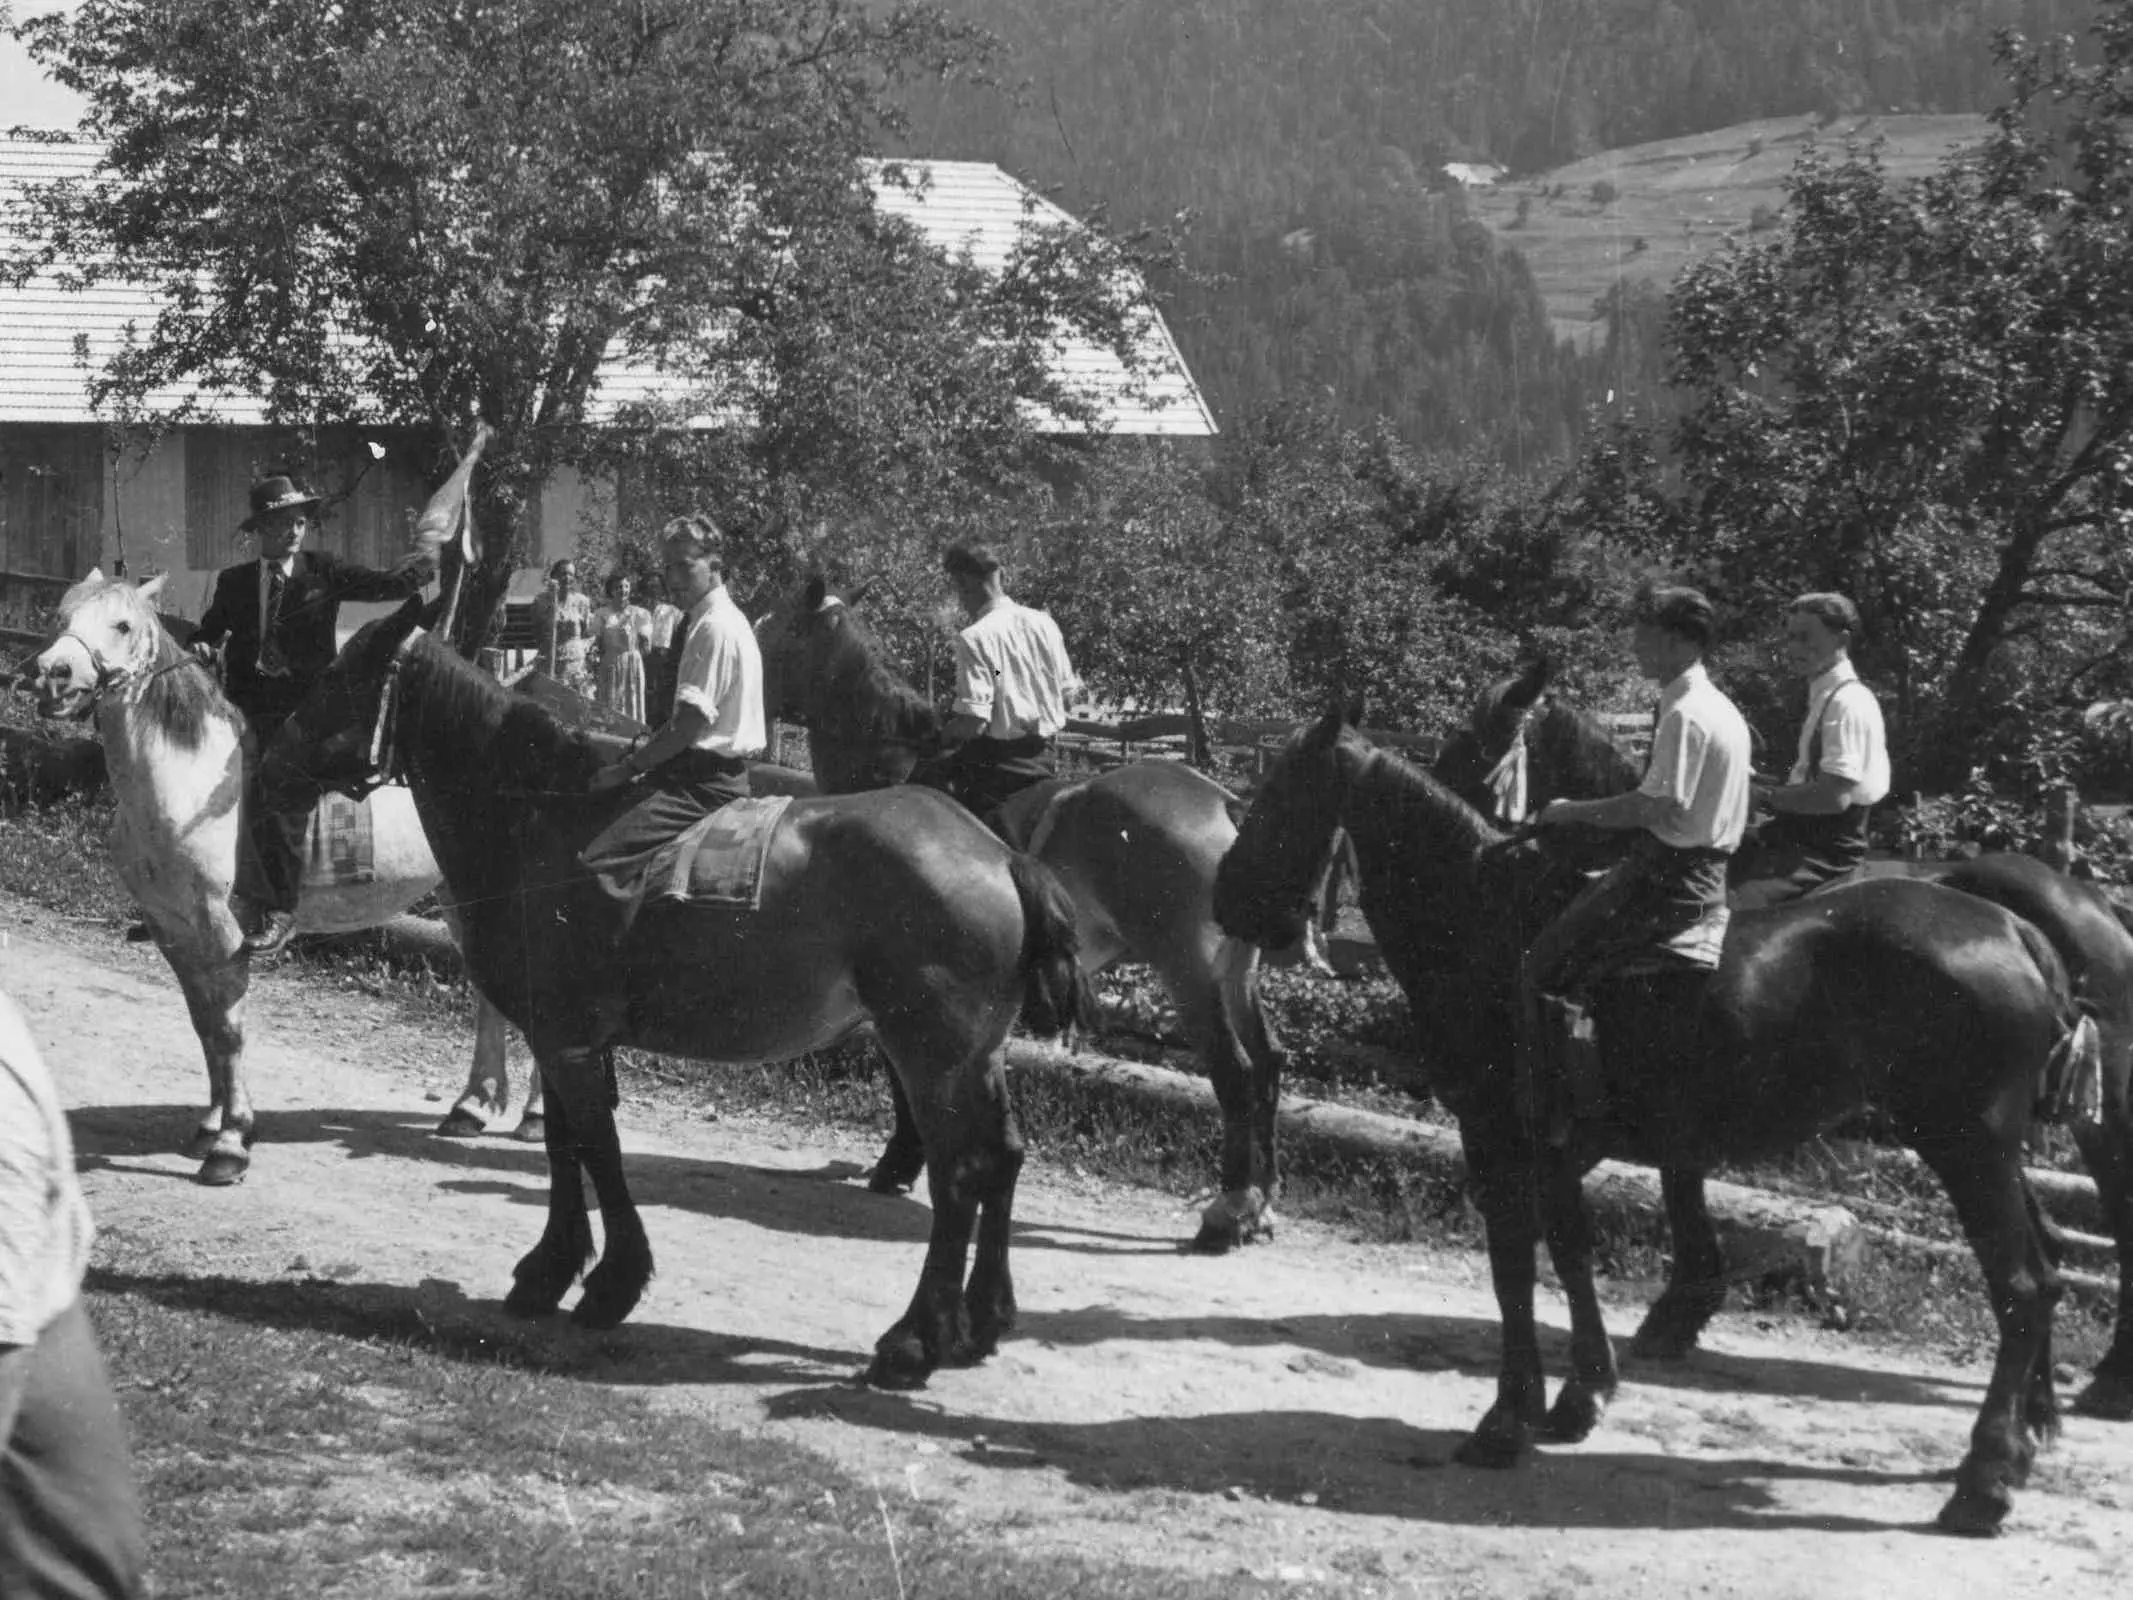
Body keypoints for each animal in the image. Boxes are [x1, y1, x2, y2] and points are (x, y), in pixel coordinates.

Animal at [33, 571, 537, 1186]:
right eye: (60, 616)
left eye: (123, 625)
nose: (53, 675)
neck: (186, 785)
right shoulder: (172, 928)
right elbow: (204, 1026)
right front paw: (210, 1125)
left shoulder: (222, 931)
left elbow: (229, 1030)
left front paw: (231, 1142)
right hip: (462, 897)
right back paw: (471, 1107)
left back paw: (532, 1117)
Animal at [266, 601, 1092, 1390]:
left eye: (341, 675)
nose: (274, 758)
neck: (540, 815)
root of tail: (1000, 855)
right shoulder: (563, 1035)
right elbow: (566, 1146)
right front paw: (553, 1269)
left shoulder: (565, 1037)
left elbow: (594, 1148)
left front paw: (610, 1281)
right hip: (976, 1057)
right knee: (1000, 1158)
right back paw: (982, 1318)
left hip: (932, 1056)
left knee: (958, 1176)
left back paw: (914, 1340)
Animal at [759, 584, 1288, 1262]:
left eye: (773, 632)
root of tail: (1225, 803)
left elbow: (905, 1077)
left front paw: (899, 1161)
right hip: (1234, 971)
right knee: (1268, 1064)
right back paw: (1261, 1204)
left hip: (1188, 971)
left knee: (1237, 1074)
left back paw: (1229, 1211)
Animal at [1220, 712, 2098, 1544]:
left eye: (1280, 798)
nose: (1226, 892)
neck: (1490, 923)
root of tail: (2016, 932)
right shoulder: (1557, 1150)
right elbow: (1569, 1256)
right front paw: (1580, 1395)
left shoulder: (1500, 1139)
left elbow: (1513, 1268)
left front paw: (1507, 1420)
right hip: (1991, 1152)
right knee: (2046, 1268)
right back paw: (2024, 1437)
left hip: (1963, 1147)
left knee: (2021, 1287)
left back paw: (1984, 1480)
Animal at [1424, 657, 2133, 1425]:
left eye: (1475, 741)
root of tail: (2079, 909)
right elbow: (1679, 1169)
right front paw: (1683, 1308)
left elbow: (1679, 1174)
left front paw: (1678, 1309)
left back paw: (2104, 1382)